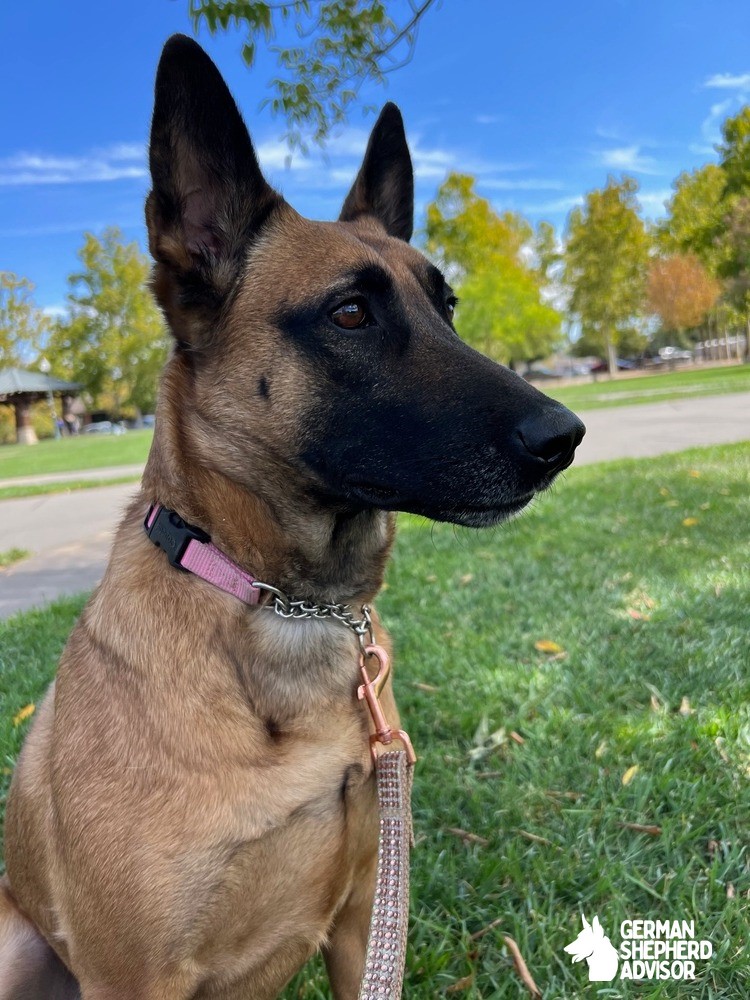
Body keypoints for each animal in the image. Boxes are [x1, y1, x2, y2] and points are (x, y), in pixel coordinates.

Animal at [0, 33, 588, 1000]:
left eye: (447, 307)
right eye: (350, 314)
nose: (565, 437)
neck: (286, 604)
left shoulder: (364, 922)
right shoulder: (135, 978)